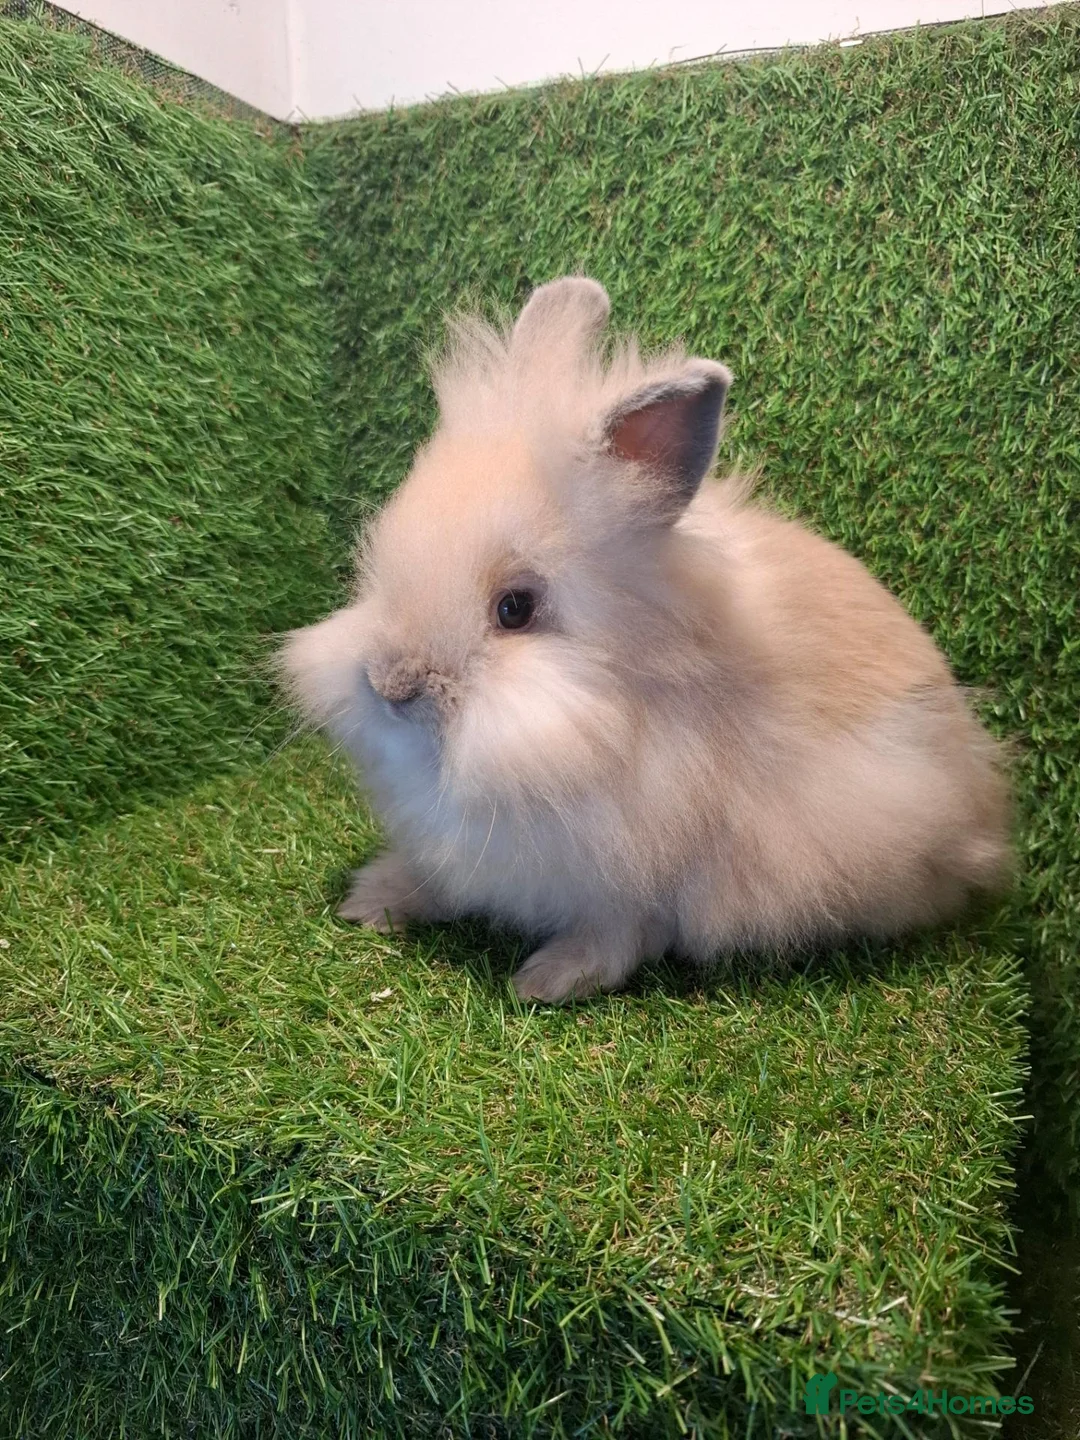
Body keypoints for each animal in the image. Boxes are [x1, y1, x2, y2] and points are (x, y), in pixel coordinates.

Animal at [278, 277, 1011, 1004]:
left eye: (515, 609)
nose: (391, 685)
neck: (610, 711)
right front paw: (371, 901)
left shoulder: (641, 875)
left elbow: (617, 935)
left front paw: (546, 980)